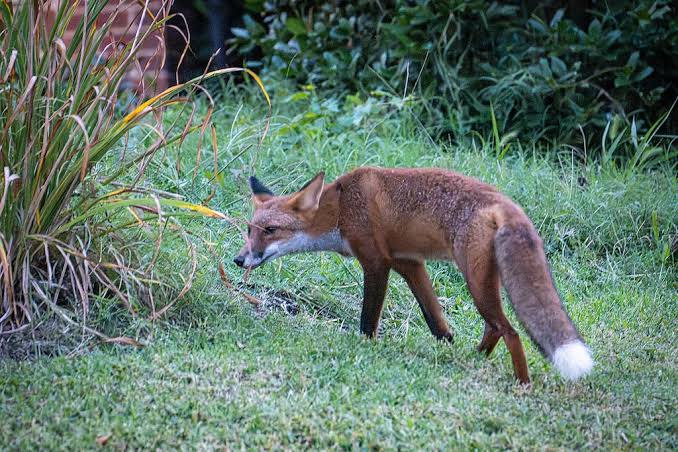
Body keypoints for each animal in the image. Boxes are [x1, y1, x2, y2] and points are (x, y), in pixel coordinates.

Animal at [233, 167, 594, 383]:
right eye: (250, 230)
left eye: (270, 230)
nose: (239, 259)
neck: (340, 208)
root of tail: (504, 202)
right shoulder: (409, 263)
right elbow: (437, 323)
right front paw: (446, 347)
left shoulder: (376, 263)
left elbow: (367, 321)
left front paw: (365, 348)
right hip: (482, 281)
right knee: (494, 328)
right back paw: (475, 359)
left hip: (475, 282)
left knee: (511, 331)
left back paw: (522, 383)